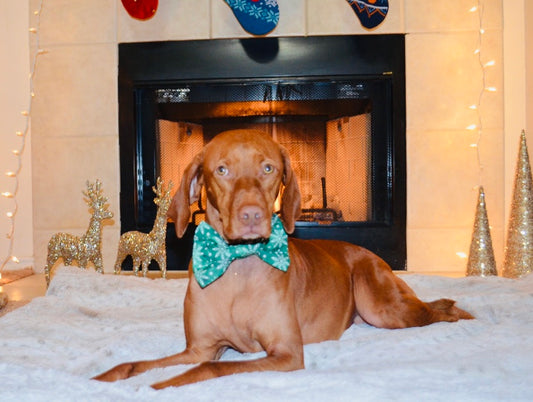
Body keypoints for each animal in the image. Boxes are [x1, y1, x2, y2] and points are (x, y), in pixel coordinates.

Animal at [93, 130, 472, 388]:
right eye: (221, 170)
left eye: (267, 168)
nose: (251, 215)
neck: (236, 265)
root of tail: (367, 252)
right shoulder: (199, 347)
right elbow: (133, 365)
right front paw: (102, 379)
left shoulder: (285, 353)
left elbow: (209, 368)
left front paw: (155, 387)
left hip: (382, 307)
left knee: (433, 311)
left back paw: (458, 312)